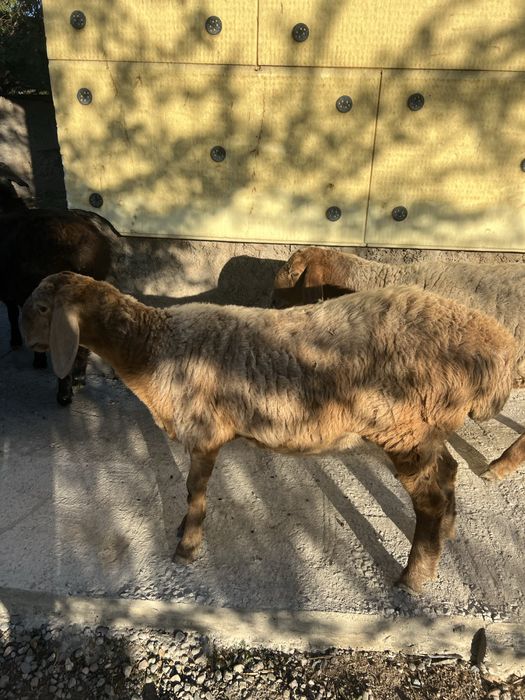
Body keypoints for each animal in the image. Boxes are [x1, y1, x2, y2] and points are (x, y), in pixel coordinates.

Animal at [21, 271, 521, 593]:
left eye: (43, 308)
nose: (25, 341)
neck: (154, 348)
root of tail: (494, 345)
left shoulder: (205, 432)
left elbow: (195, 490)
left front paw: (186, 546)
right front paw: (183, 533)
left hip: (405, 427)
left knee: (431, 498)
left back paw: (414, 579)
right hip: (428, 427)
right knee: (448, 473)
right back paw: (446, 537)